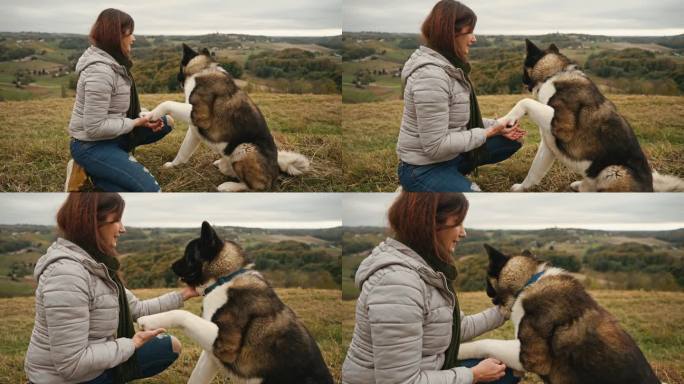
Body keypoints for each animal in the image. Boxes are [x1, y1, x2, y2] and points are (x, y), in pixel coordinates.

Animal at [135, 222, 332, 384]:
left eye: (188, 255)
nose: (170, 265)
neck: (224, 279)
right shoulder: (210, 356)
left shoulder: (224, 344)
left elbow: (183, 314)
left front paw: (149, 320)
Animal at [144, 44, 310, 192]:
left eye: (179, 67)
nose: (175, 77)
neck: (203, 70)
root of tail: (277, 169)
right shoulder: (194, 130)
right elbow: (183, 152)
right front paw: (173, 165)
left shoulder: (200, 115)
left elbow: (167, 103)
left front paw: (150, 114)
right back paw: (221, 164)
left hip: (244, 148)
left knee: (256, 187)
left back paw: (229, 186)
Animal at [456, 244, 660, 382]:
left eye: (487, 281)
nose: (486, 292)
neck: (529, 282)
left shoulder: (531, 357)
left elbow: (486, 342)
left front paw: (459, 349)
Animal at [496, 39, 684, 192]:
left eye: (523, 68)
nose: (521, 79)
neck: (555, 73)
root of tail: (650, 189)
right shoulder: (548, 145)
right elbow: (534, 171)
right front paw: (522, 188)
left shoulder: (563, 126)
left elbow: (525, 101)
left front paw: (505, 119)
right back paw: (580, 185)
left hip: (614, 171)